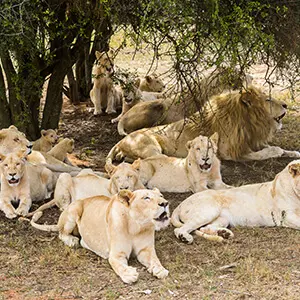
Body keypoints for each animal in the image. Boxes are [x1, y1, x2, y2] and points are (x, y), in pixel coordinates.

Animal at [31, 190, 170, 284]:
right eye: (146, 198)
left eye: (161, 196)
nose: (165, 203)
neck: (137, 227)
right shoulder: (116, 255)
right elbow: (118, 265)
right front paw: (129, 274)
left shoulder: (146, 250)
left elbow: (155, 259)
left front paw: (160, 269)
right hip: (74, 209)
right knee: (61, 233)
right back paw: (72, 241)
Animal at [108, 85, 300, 163]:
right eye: (268, 99)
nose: (286, 105)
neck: (249, 120)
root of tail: (119, 143)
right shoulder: (230, 151)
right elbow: (270, 151)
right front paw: (278, 151)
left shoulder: (250, 141)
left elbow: (278, 149)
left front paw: (294, 153)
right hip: (151, 145)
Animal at [172, 159, 300, 244]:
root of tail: (181, 204)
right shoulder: (286, 216)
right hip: (209, 211)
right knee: (180, 229)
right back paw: (185, 238)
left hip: (222, 219)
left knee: (204, 228)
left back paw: (224, 234)